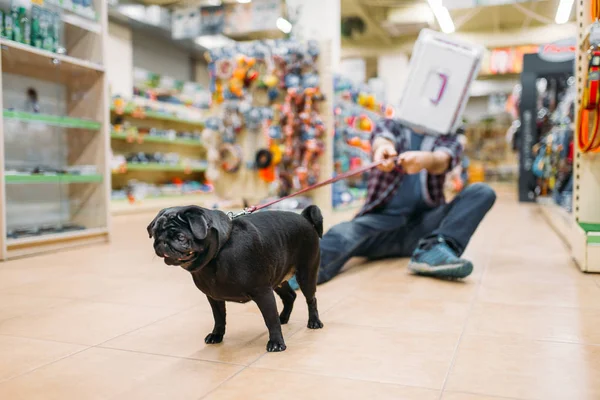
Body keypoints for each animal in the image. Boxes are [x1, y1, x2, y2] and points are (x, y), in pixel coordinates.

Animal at [148, 205, 326, 352]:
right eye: (156, 234)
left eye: (181, 237)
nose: (162, 241)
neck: (217, 254)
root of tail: (304, 218)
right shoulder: (214, 298)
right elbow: (219, 318)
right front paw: (217, 335)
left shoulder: (263, 292)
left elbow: (270, 319)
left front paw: (276, 343)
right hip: (278, 280)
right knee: (290, 296)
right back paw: (283, 317)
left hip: (306, 274)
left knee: (311, 299)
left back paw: (314, 322)